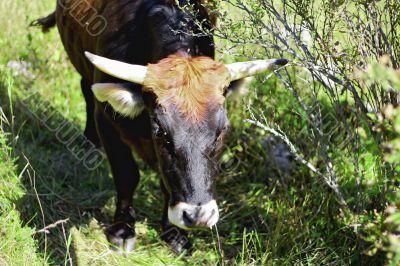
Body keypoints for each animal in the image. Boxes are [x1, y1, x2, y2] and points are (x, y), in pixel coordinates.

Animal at [32, 0, 286, 255]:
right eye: (162, 133)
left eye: (221, 131)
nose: (198, 216)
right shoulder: (106, 119)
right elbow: (127, 175)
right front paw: (122, 230)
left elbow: (165, 181)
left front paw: (174, 234)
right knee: (86, 87)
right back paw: (89, 141)